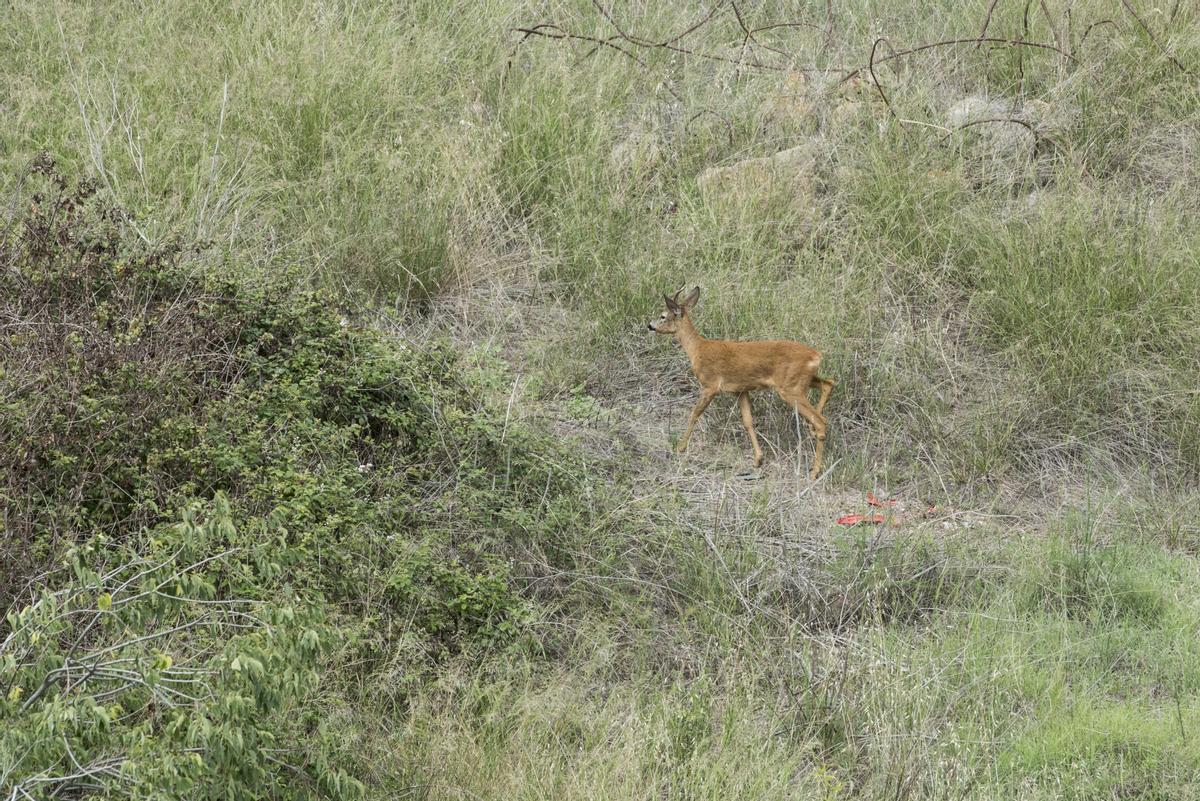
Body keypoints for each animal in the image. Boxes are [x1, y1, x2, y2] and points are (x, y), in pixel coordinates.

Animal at [648, 286, 835, 479]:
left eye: (663, 316)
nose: (650, 325)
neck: (697, 349)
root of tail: (816, 356)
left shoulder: (710, 385)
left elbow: (695, 413)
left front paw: (680, 447)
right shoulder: (741, 389)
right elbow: (748, 421)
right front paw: (758, 459)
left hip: (790, 387)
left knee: (821, 420)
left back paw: (814, 472)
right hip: (801, 381)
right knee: (829, 384)